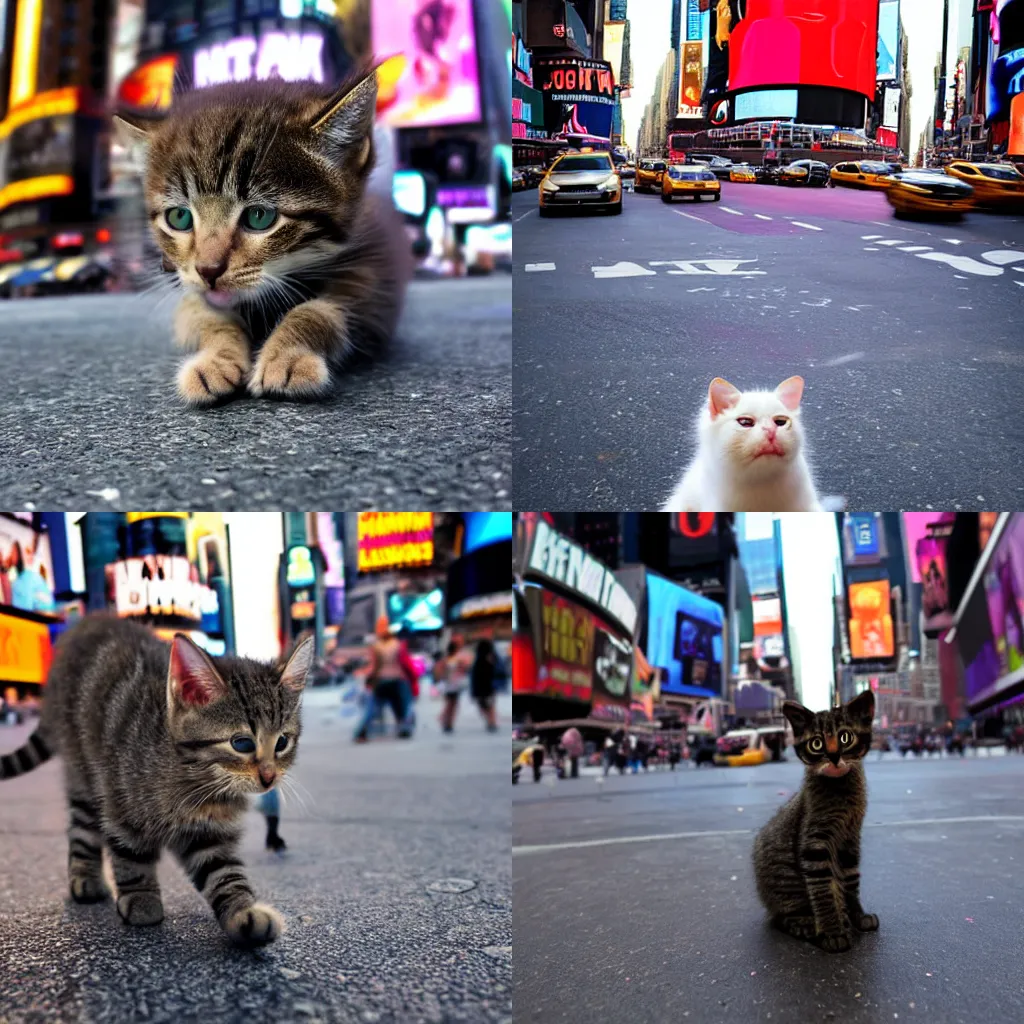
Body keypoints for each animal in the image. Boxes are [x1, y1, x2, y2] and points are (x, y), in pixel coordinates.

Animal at [0, 610, 311, 946]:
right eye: (241, 744)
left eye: (282, 742)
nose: (268, 777)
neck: (197, 778)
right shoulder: (120, 802)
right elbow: (129, 854)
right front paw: (141, 899)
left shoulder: (208, 831)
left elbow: (221, 870)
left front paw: (242, 912)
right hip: (83, 770)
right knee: (81, 827)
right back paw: (85, 877)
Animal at [114, 66, 409, 403]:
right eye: (180, 217)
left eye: (259, 217)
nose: (208, 270)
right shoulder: (190, 288)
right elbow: (205, 316)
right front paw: (215, 359)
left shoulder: (374, 275)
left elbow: (321, 310)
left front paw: (287, 356)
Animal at [753, 692, 880, 954]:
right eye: (817, 744)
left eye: (845, 738)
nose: (833, 756)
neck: (840, 793)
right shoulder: (814, 844)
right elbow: (822, 892)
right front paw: (832, 932)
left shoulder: (850, 840)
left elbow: (850, 882)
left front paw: (857, 916)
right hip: (787, 883)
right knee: (783, 918)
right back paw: (810, 927)